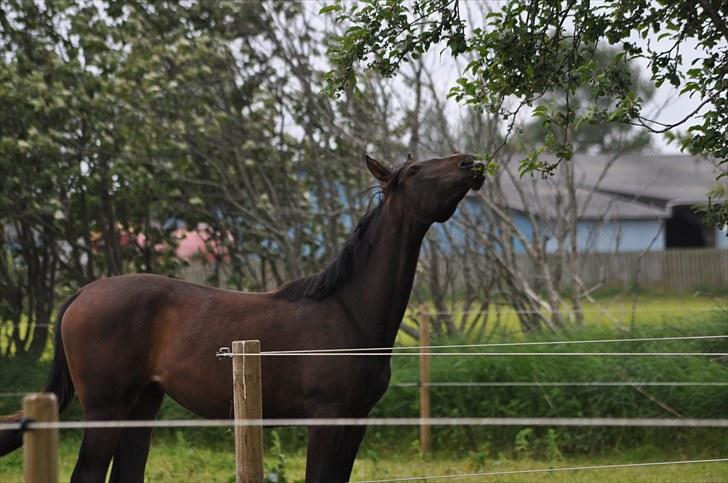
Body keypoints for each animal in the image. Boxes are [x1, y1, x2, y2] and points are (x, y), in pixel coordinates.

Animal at [2, 153, 486, 482]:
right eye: (415, 172)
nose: (472, 163)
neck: (349, 314)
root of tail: (82, 293)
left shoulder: (356, 420)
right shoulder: (326, 418)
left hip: (143, 404)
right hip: (106, 408)